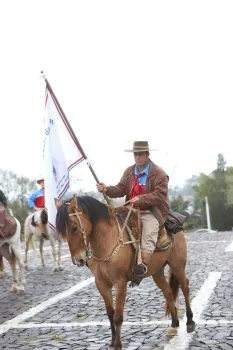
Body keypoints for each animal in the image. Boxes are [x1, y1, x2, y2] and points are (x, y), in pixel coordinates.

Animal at [55, 196, 195, 348]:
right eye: (61, 233)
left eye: (74, 228)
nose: (79, 260)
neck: (107, 241)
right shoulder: (101, 284)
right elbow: (110, 314)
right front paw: (112, 342)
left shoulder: (120, 283)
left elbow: (117, 316)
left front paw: (117, 344)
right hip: (157, 272)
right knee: (168, 291)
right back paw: (174, 324)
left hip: (177, 265)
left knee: (185, 287)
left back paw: (190, 322)